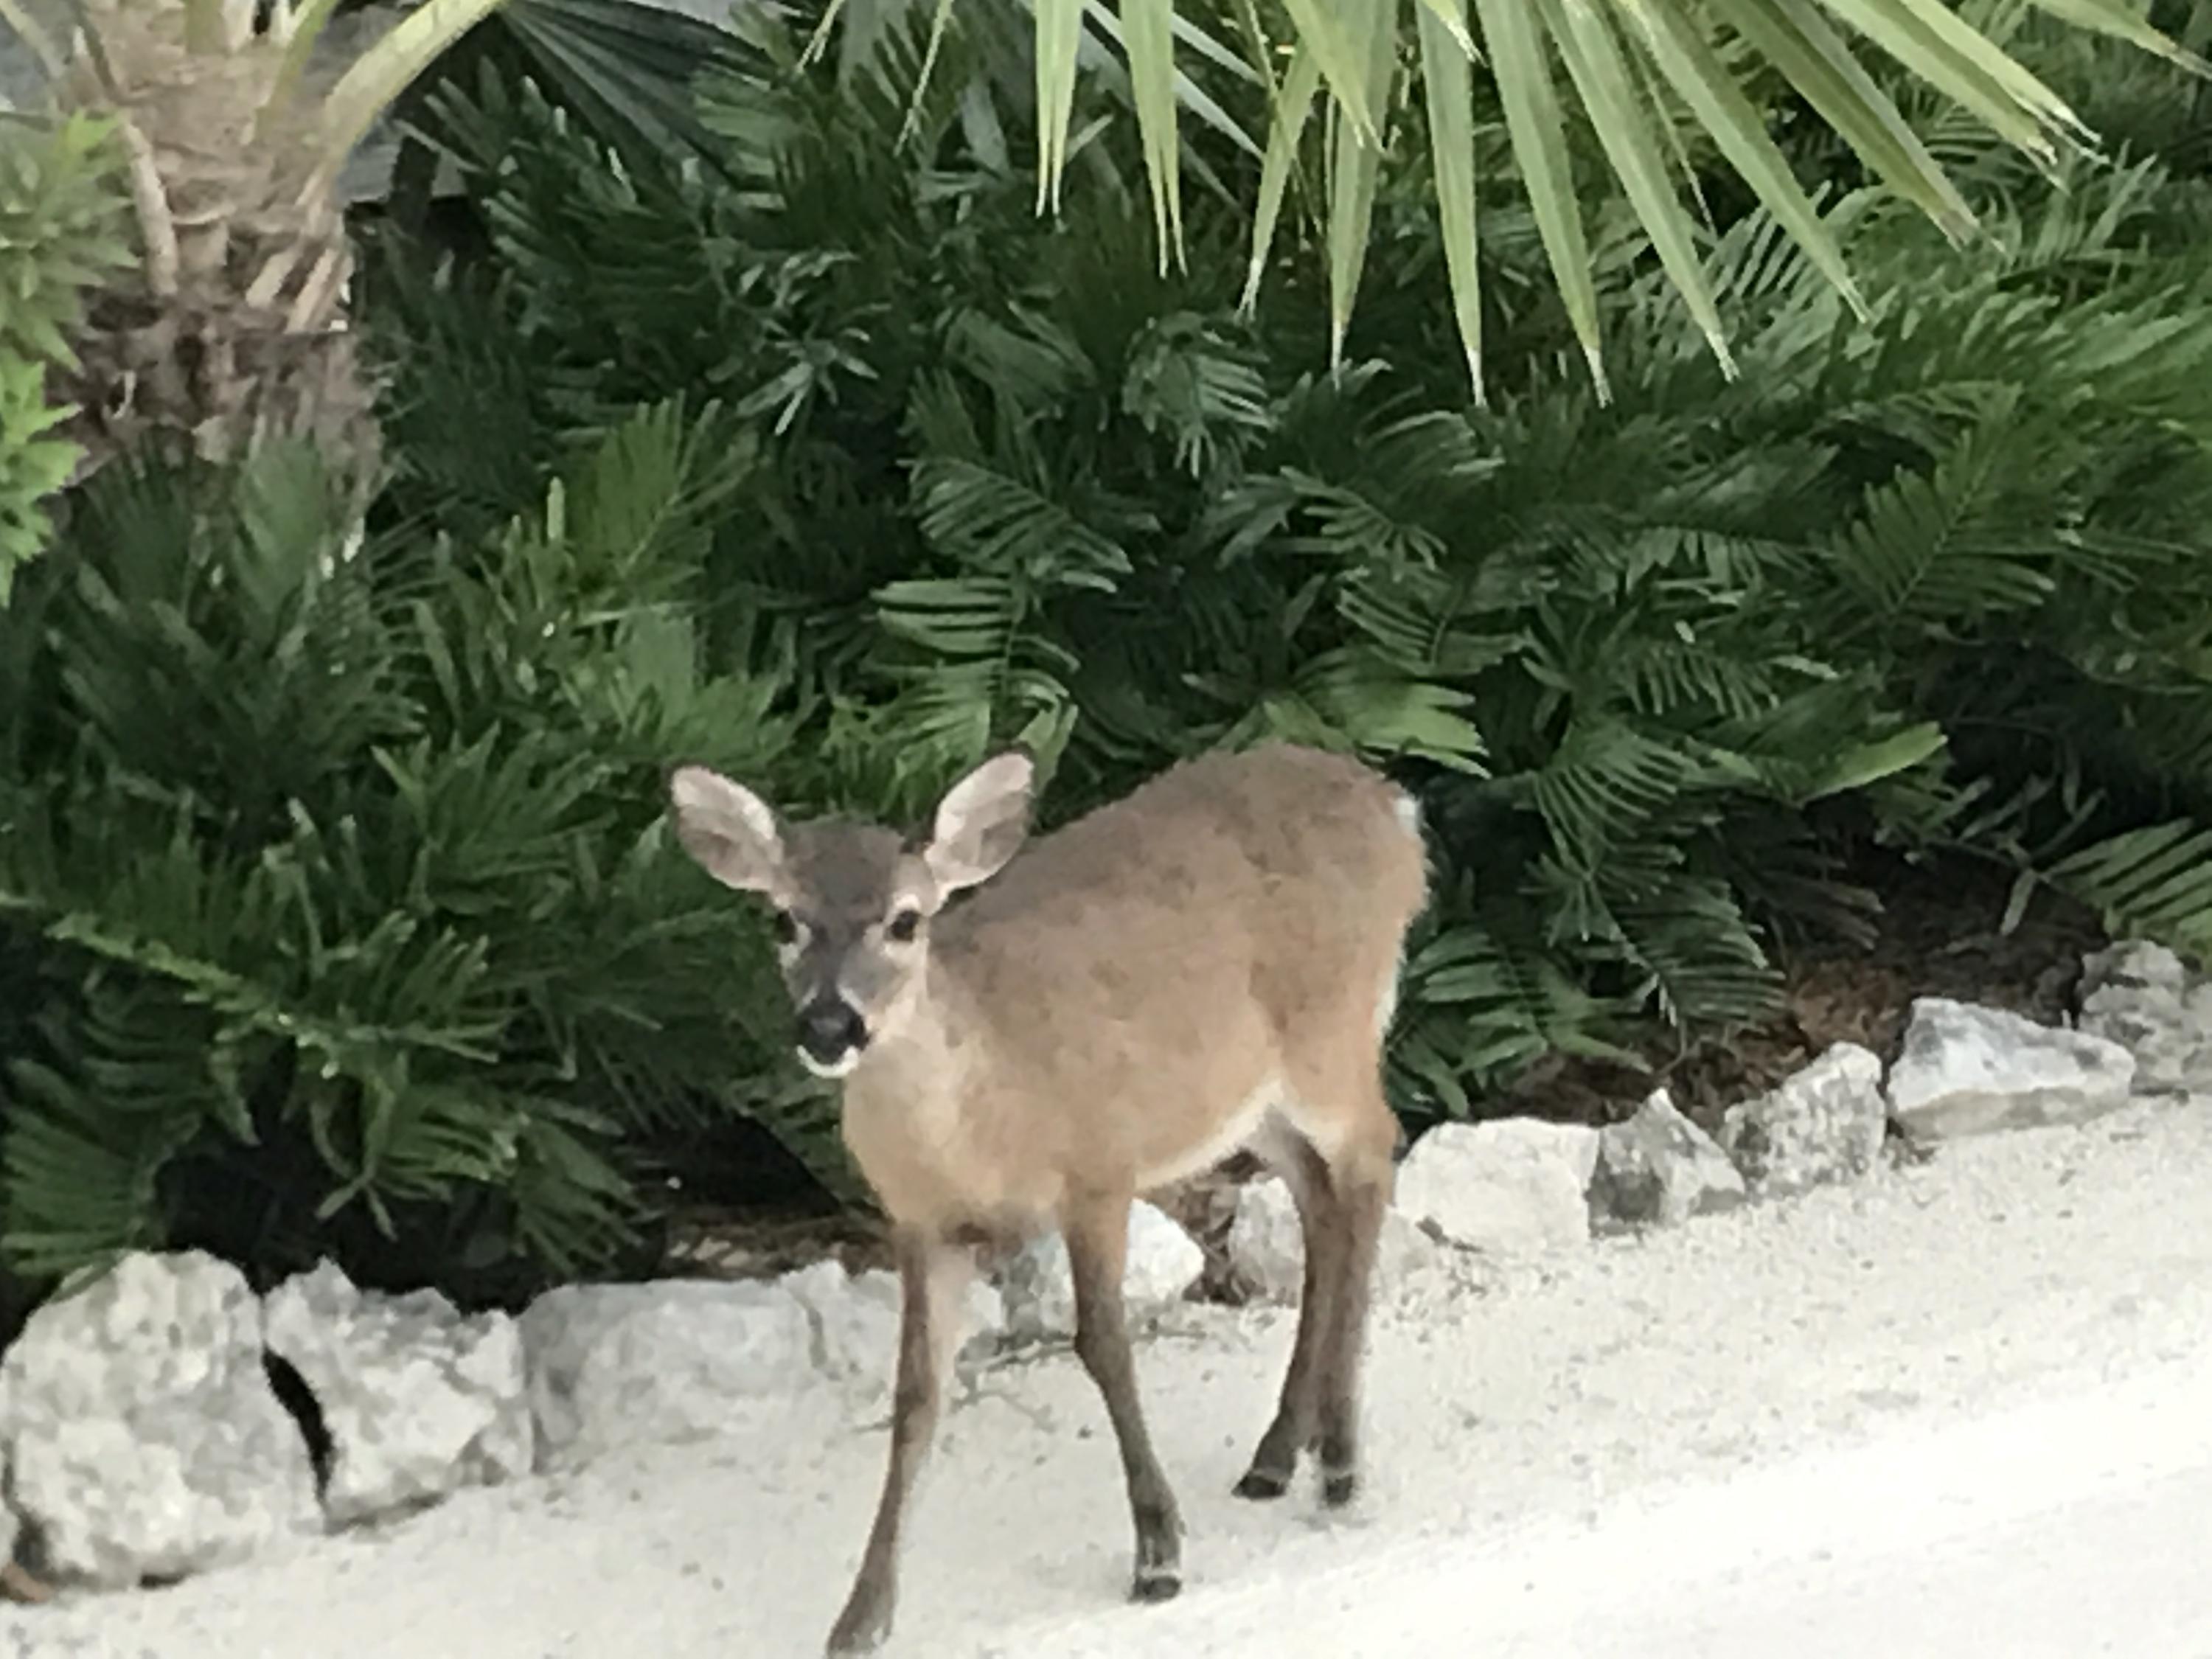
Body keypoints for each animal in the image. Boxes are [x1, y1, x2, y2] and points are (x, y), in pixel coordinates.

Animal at [666, 741, 1429, 1655]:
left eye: (906, 921)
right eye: (784, 919)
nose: (828, 1026)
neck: (987, 1117)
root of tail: (1394, 807)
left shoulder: (1098, 1170)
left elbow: (1103, 1345)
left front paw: (1158, 1553)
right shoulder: (920, 1225)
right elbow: (916, 1396)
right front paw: (861, 1617)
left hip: (1330, 1033)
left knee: (1373, 1154)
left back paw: (1341, 1460)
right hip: (1245, 1097)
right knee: (1318, 1195)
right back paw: (1277, 1455)